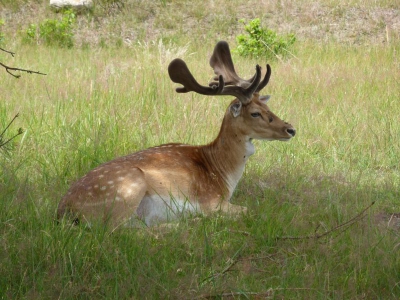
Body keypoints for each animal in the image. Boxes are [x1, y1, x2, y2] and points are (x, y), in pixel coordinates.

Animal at [58, 41, 296, 226]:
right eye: (255, 113)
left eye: (267, 107)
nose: (291, 129)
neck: (222, 172)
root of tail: (63, 210)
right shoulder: (211, 201)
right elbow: (251, 211)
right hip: (127, 189)